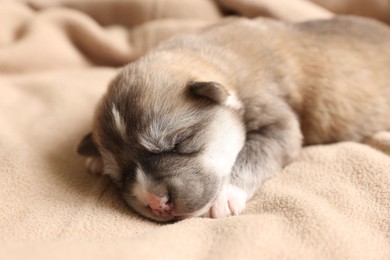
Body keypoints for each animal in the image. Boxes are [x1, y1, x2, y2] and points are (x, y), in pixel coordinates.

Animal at [76, 15, 390, 221]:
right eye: (120, 176)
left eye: (180, 143)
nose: (156, 203)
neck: (215, 59)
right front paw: (94, 158)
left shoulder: (278, 123)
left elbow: (253, 154)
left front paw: (225, 196)